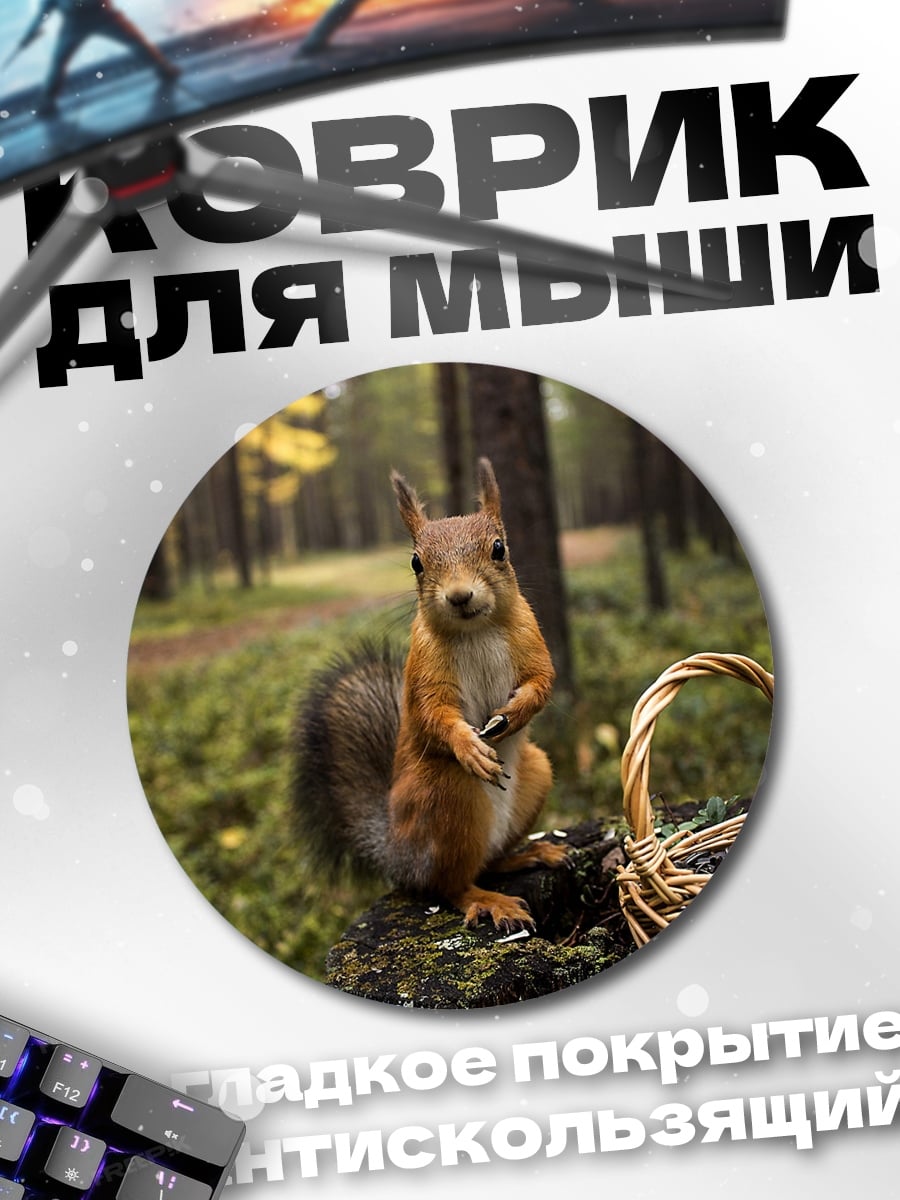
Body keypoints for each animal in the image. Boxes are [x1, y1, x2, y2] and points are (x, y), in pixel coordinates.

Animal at [290, 457, 567, 933]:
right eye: (417, 562)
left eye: (499, 548)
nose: (459, 595)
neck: (476, 630)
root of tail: (398, 856)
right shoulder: (423, 669)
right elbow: (432, 714)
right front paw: (469, 747)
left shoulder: (531, 641)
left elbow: (542, 682)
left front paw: (514, 713)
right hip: (445, 796)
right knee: (448, 885)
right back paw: (489, 899)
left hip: (536, 773)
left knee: (489, 861)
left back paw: (530, 853)